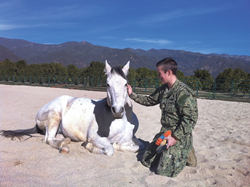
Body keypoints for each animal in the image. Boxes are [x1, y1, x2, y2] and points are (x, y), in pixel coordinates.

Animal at [0, 60, 144, 156]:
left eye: (125, 84)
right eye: (108, 84)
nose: (118, 111)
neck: (121, 121)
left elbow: (138, 146)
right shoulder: (95, 137)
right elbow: (109, 149)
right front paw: (90, 146)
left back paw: (65, 140)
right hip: (54, 117)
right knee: (48, 139)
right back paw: (64, 147)